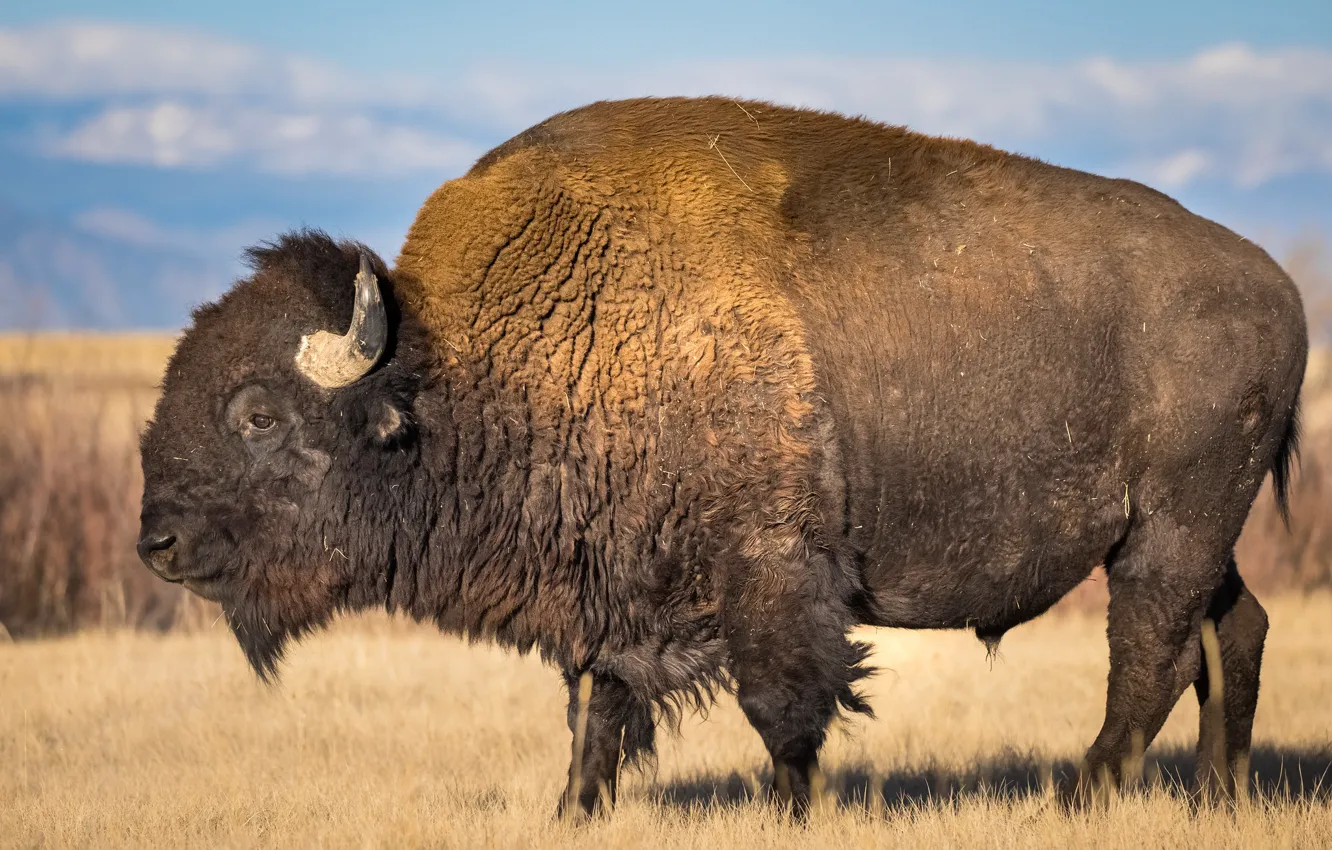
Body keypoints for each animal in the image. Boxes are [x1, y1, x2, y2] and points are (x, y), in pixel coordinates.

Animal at [138, 97, 1306, 817]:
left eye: (256, 414)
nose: (156, 542)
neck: (459, 367)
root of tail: (1277, 286)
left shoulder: (772, 575)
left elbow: (783, 706)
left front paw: (795, 811)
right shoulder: (605, 587)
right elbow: (596, 710)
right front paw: (571, 811)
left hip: (1168, 529)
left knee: (1152, 651)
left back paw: (1082, 793)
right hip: (1190, 537)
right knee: (1232, 630)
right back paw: (1217, 795)